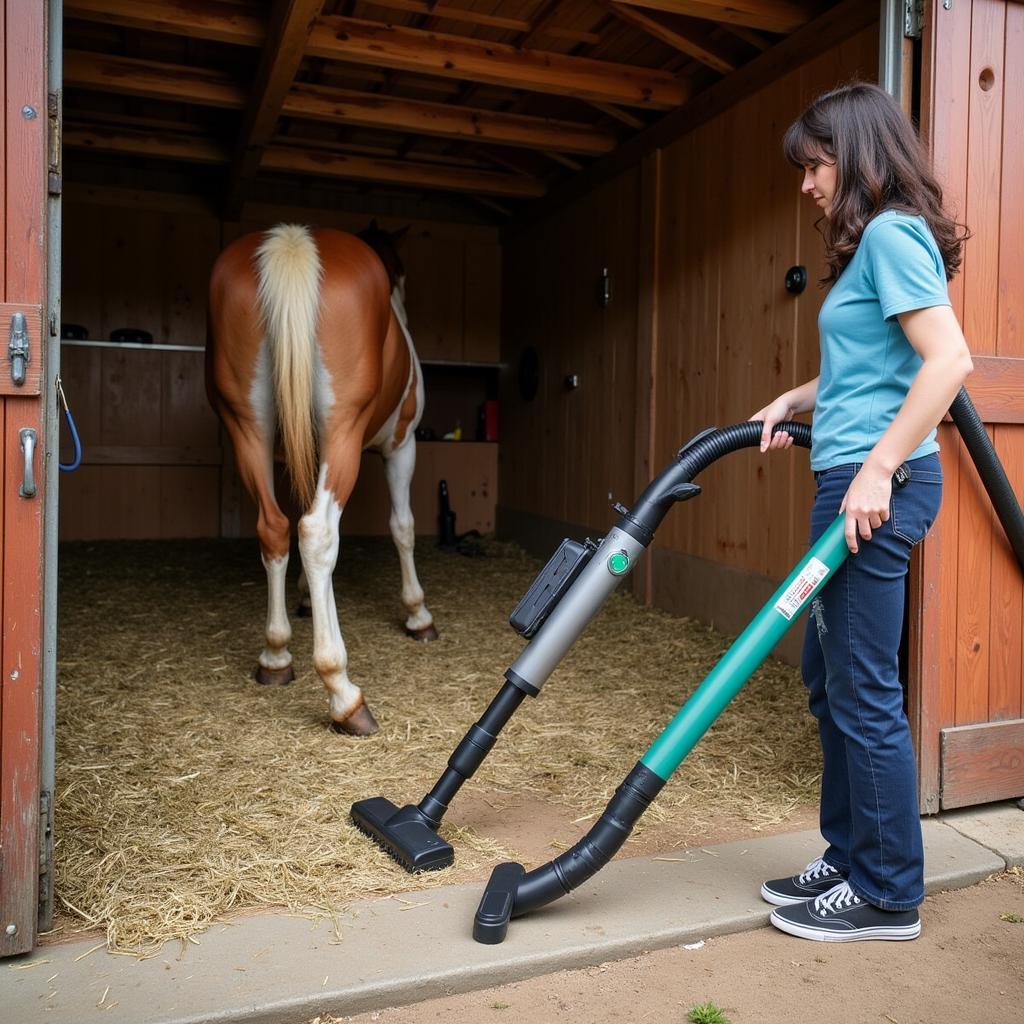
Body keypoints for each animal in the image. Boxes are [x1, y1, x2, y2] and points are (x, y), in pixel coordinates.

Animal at [203, 222, 436, 737]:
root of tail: (294, 241)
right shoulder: (402, 446)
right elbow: (403, 528)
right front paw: (417, 614)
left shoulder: (297, 456)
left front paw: (308, 600)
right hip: (343, 432)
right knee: (316, 532)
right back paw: (343, 692)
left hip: (246, 428)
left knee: (275, 528)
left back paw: (275, 655)